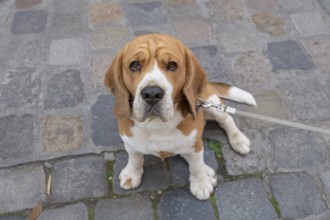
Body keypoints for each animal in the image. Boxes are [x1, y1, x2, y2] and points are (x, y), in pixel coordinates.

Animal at [104, 33, 256, 200]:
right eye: (134, 65)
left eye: (172, 65)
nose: (152, 93)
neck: (156, 124)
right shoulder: (131, 143)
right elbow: (135, 160)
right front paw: (132, 174)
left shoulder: (195, 144)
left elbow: (196, 166)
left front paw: (201, 183)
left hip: (212, 105)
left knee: (227, 120)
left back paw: (238, 140)